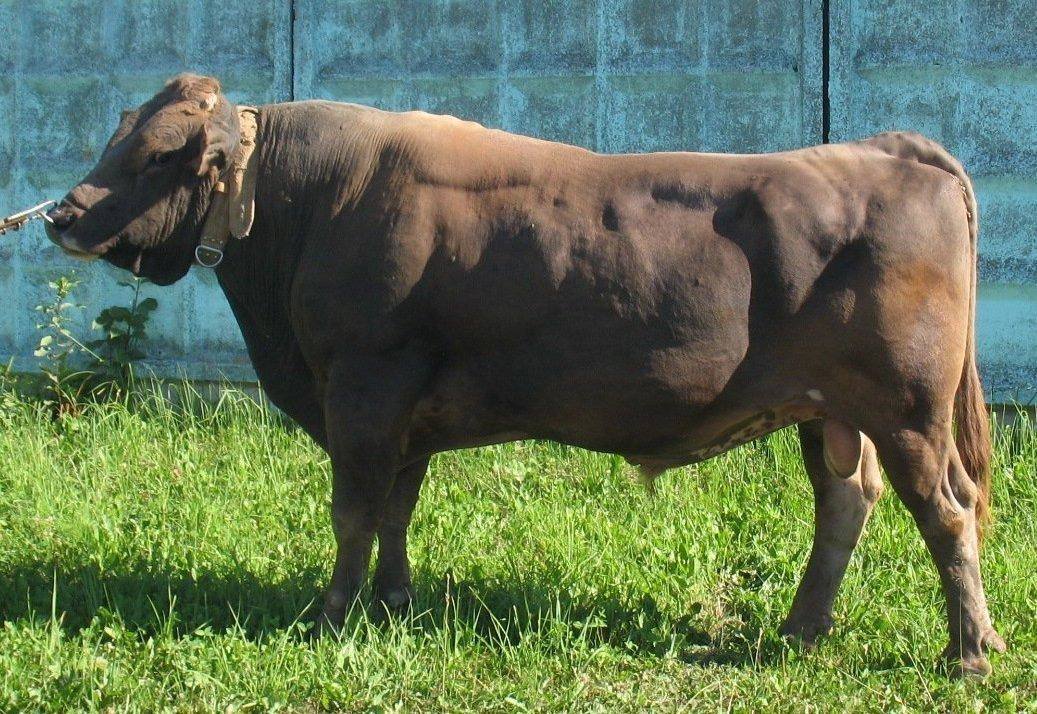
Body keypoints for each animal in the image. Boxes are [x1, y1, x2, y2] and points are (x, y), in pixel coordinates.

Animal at [43, 74, 1003, 676]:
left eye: (157, 154)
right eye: (118, 137)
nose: (63, 215)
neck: (315, 198)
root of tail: (882, 149)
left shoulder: (362, 386)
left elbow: (353, 511)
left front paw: (331, 614)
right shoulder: (404, 413)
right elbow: (395, 509)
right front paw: (394, 602)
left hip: (906, 410)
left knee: (946, 513)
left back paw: (967, 653)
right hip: (828, 411)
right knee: (845, 504)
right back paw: (801, 630)